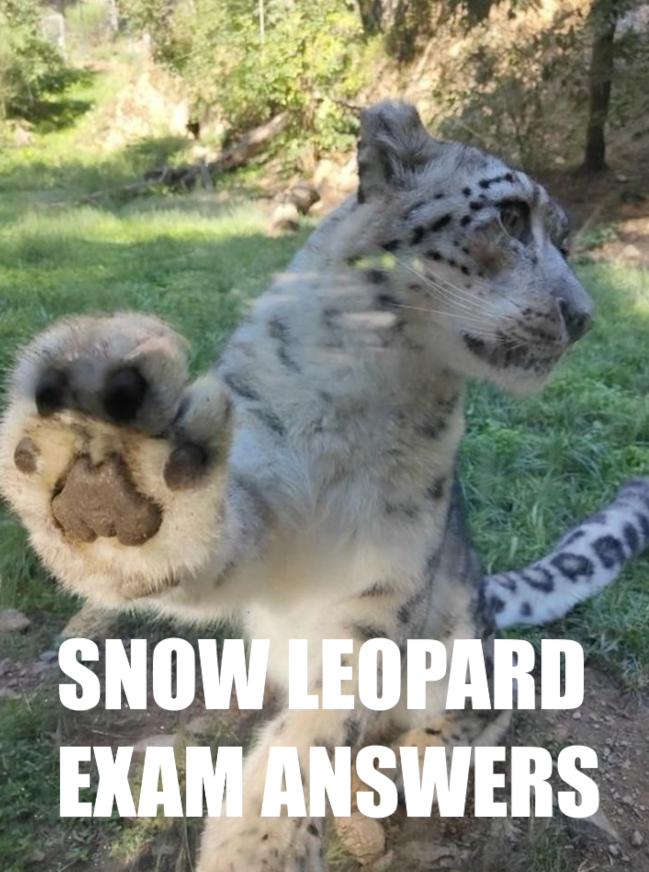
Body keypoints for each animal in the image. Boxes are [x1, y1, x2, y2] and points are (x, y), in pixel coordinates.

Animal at [1, 100, 648, 872]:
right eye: (511, 215)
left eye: (566, 241)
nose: (581, 317)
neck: (369, 377)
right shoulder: (261, 505)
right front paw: (102, 478)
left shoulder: (386, 576)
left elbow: (327, 714)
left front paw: (260, 845)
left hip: (468, 669)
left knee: (467, 722)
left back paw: (392, 780)